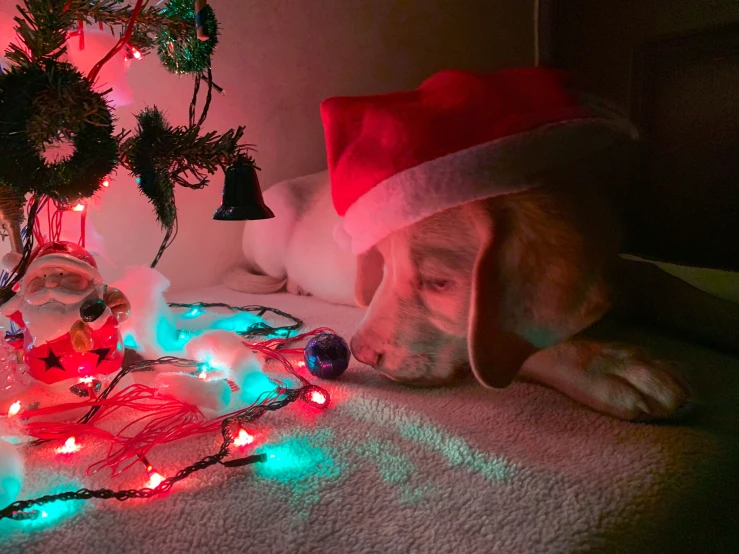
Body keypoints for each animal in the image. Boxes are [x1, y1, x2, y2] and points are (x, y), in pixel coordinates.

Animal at [227, 166, 739, 420]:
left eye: (439, 283)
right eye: (385, 265)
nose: (361, 351)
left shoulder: (614, 266)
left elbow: (664, 280)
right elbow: (510, 347)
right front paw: (614, 367)